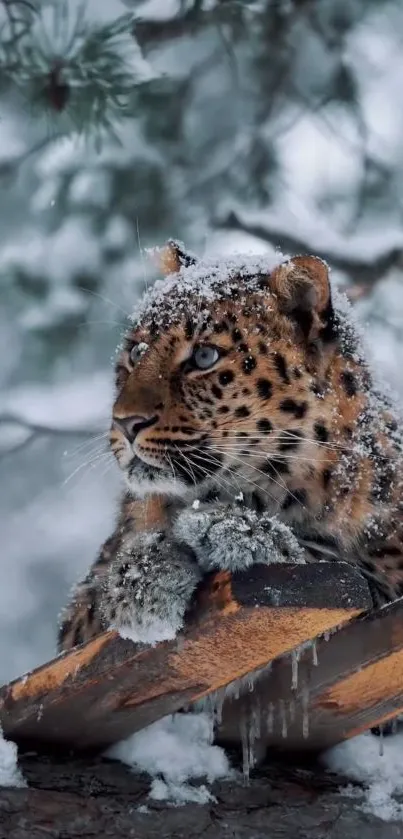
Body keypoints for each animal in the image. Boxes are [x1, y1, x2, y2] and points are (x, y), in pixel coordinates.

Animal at [58, 240, 403, 652]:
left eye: (204, 357)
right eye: (137, 352)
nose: (125, 422)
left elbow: (345, 567)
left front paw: (236, 530)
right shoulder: (75, 615)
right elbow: (92, 606)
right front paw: (143, 576)